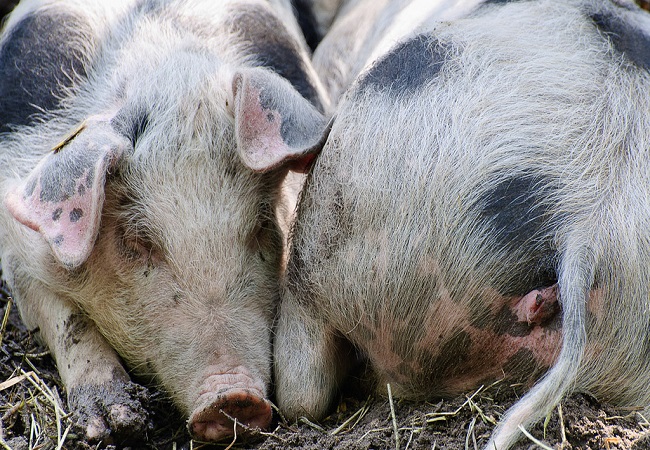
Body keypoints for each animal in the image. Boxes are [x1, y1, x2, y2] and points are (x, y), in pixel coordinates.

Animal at [0, 0, 326, 442]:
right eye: (137, 242)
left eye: (261, 226)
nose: (233, 397)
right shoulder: (19, 247)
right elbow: (67, 321)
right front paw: (113, 423)